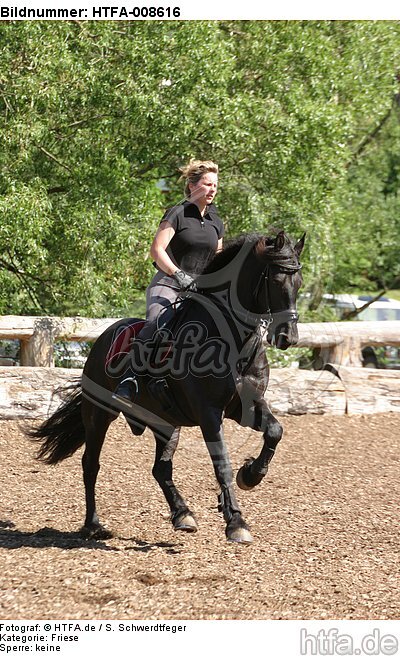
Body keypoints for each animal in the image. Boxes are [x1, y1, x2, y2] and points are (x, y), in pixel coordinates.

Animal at [28, 230, 305, 545]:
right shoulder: (210, 414)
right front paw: (236, 522)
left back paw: (183, 515)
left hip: (166, 423)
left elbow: (275, 431)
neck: (234, 342)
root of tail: (103, 338)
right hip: (99, 414)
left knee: (160, 468)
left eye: (299, 282)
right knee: (91, 464)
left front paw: (251, 475)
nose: (288, 337)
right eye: (276, 281)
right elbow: (222, 463)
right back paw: (93, 525)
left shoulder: (245, 406)